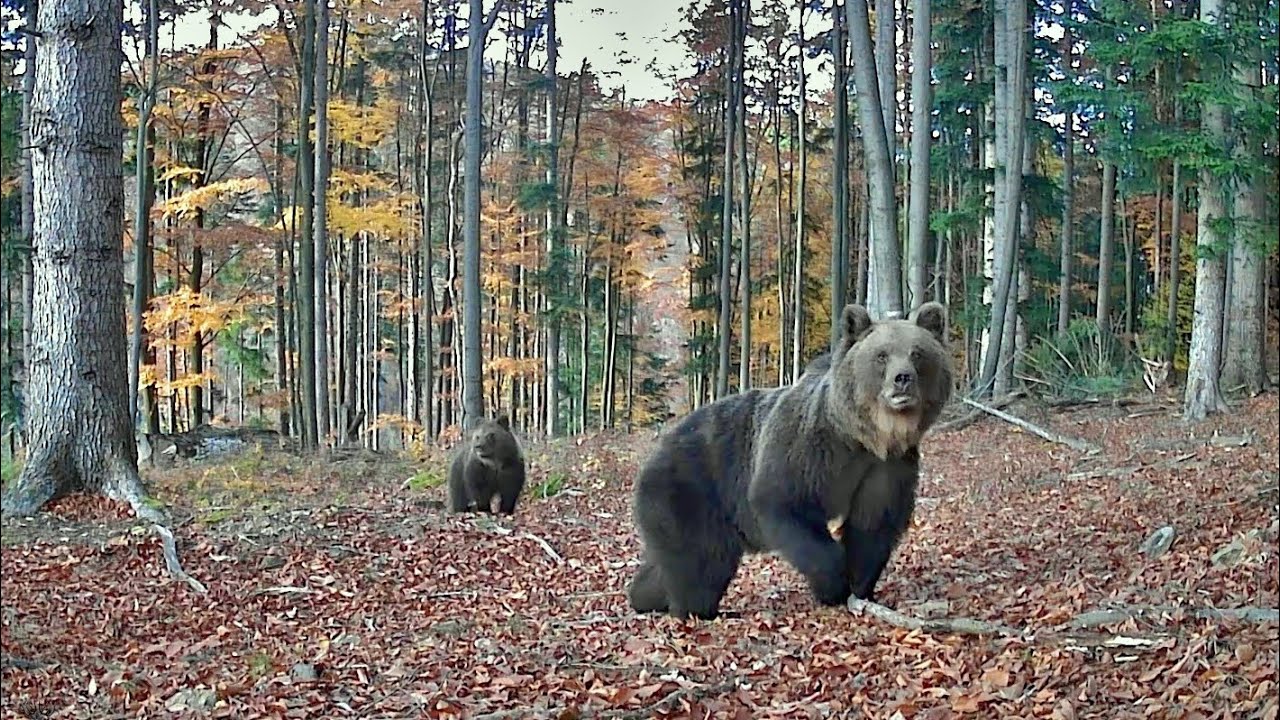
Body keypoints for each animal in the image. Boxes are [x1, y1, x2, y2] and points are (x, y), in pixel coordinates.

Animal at [627, 302, 952, 620]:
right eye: (882, 355)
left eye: (917, 353)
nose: (903, 379)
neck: (863, 437)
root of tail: (658, 449)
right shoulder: (807, 447)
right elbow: (784, 503)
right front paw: (834, 585)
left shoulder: (886, 466)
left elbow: (873, 524)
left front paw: (861, 586)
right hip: (692, 489)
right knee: (702, 559)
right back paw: (702, 610)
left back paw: (643, 596)